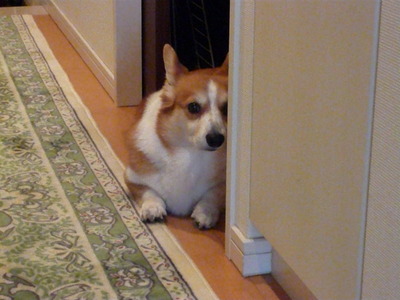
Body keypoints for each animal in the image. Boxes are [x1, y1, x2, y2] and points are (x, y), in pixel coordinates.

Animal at [125, 43, 228, 229]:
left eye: (227, 108)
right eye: (193, 107)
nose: (216, 139)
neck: (190, 154)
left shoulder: (224, 185)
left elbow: (213, 195)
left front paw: (205, 212)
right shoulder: (132, 178)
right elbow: (148, 192)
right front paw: (152, 208)